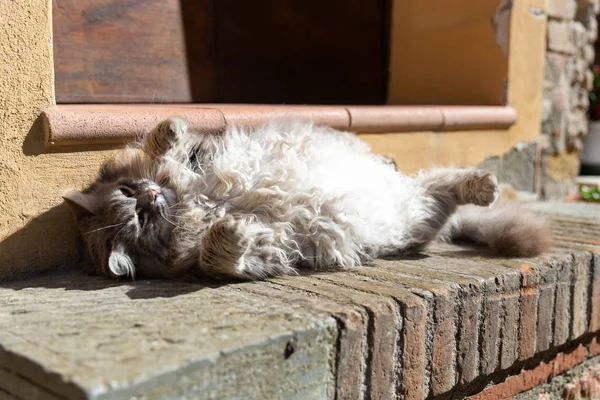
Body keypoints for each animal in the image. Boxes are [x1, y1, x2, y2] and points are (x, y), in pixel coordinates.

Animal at [63, 117, 552, 280]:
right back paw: (483, 188)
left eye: (129, 194)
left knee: (443, 179)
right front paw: (229, 231)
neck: (194, 206)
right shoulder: (266, 254)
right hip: (415, 214)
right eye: (139, 222)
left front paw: (170, 129)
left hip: (408, 196)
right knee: (441, 188)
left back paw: (484, 184)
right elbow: (217, 257)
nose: (149, 196)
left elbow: (162, 148)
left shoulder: (197, 164)